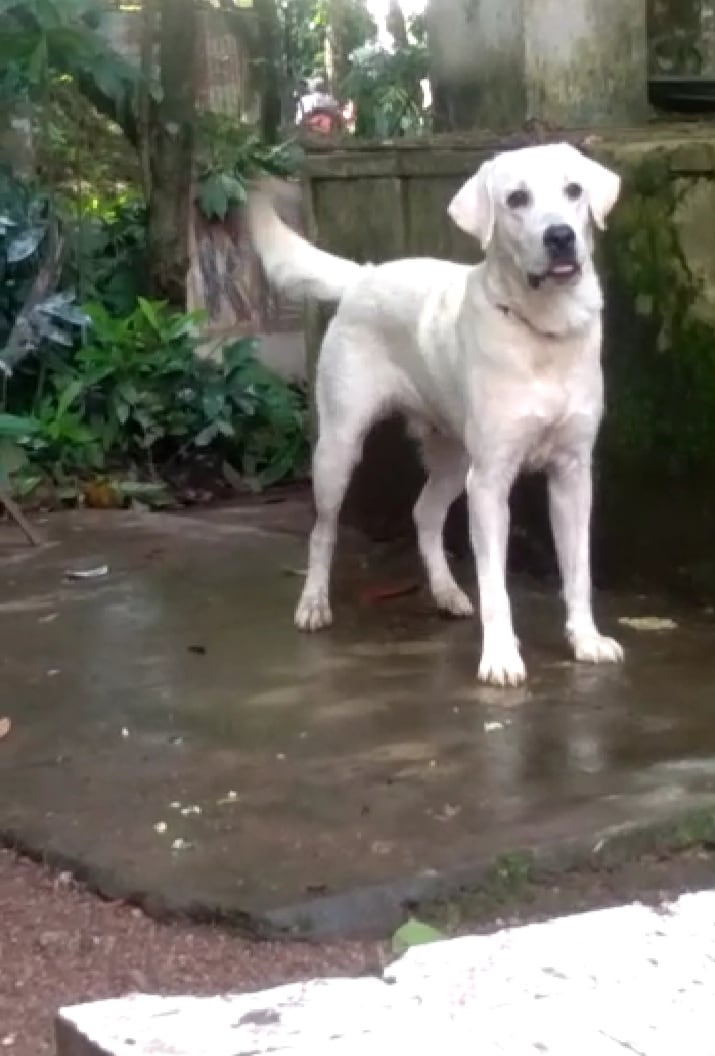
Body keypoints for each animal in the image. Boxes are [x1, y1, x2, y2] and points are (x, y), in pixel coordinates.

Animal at [247, 142, 625, 684]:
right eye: (516, 199)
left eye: (573, 190)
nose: (560, 237)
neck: (543, 332)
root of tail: (365, 273)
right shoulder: (489, 482)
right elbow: (496, 587)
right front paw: (501, 656)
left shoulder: (572, 475)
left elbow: (578, 571)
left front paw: (586, 639)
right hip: (339, 448)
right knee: (323, 531)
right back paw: (314, 604)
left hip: (453, 456)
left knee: (424, 512)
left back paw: (446, 592)